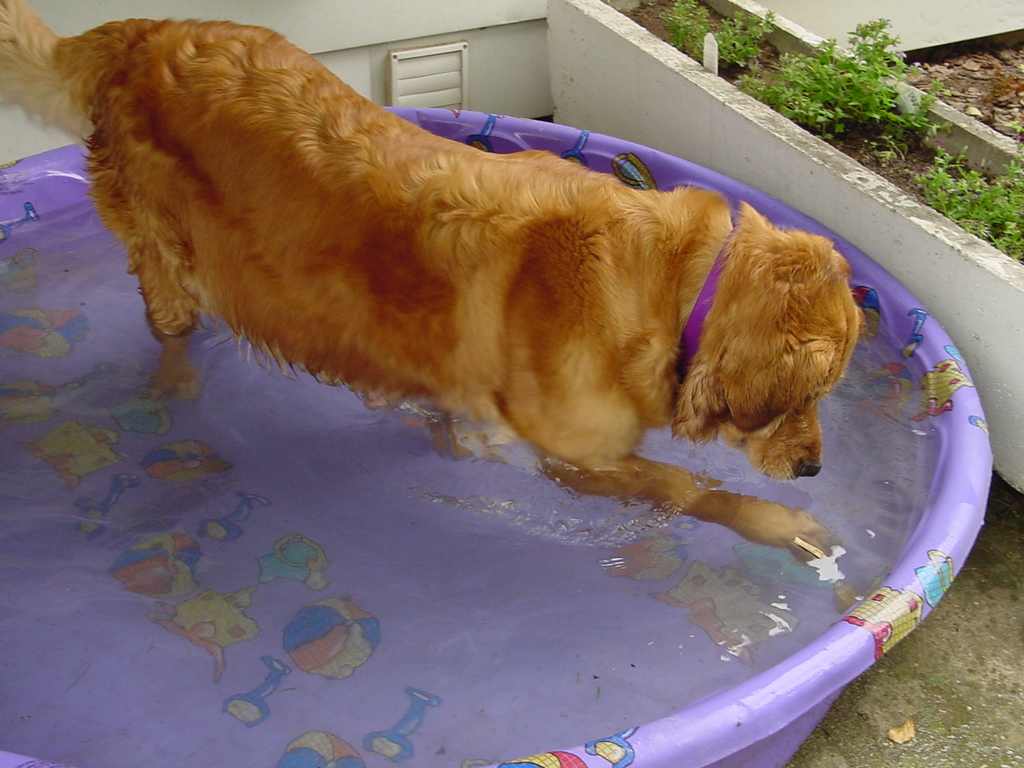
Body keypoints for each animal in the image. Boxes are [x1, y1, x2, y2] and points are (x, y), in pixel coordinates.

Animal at [0, 0, 864, 561]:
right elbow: (688, 488)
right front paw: (784, 526)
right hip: (170, 258)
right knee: (168, 326)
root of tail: (141, 33)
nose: (817, 469)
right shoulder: (576, 458)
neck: (670, 284)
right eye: (810, 394)